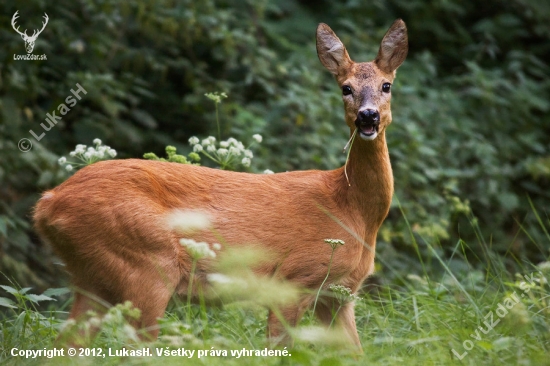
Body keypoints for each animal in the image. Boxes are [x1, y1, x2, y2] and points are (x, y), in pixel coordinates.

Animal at [33, 19, 406, 348]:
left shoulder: (340, 295)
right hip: (146, 266)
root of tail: (47, 204)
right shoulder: (292, 279)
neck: (351, 207)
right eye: (346, 88)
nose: (368, 116)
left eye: (386, 86)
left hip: (93, 278)